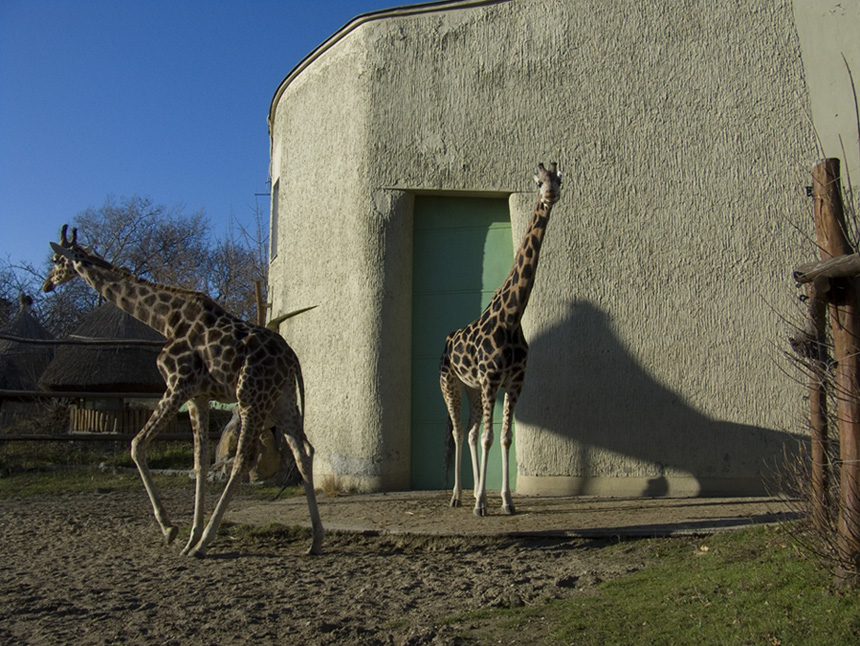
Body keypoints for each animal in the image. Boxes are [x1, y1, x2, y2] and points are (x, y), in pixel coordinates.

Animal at [42, 225, 324, 557]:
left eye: (57, 260)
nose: (47, 284)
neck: (163, 319)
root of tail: (291, 356)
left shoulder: (177, 384)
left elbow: (137, 444)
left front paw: (171, 530)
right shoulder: (197, 396)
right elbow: (199, 462)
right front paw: (189, 536)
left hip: (251, 398)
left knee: (244, 459)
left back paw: (206, 543)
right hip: (282, 402)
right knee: (304, 452)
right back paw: (315, 540)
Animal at [440, 162, 562, 517]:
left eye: (559, 179)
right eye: (538, 182)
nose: (551, 195)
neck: (512, 318)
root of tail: (447, 339)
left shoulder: (515, 381)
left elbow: (504, 437)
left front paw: (506, 501)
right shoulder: (492, 378)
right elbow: (489, 438)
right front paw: (481, 503)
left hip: (473, 389)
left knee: (469, 431)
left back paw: (470, 494)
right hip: (450, 383)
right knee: (458, 432)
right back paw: (458, 496)